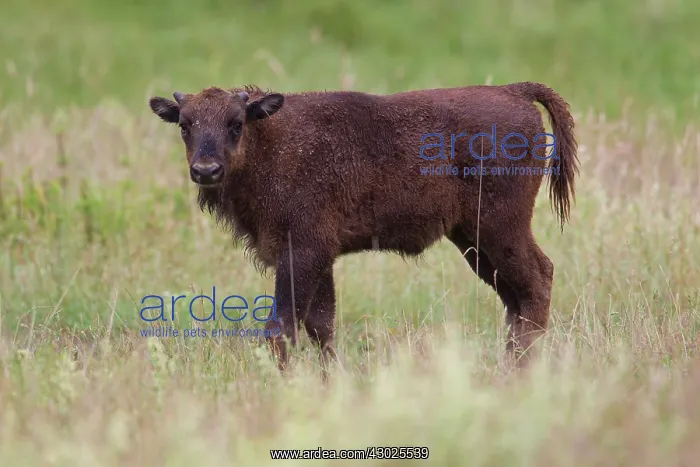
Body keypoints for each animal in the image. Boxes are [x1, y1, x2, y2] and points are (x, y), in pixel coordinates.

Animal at [148, 82, 578, 377]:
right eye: (185, 125)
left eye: (235, 124)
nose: (206, 171)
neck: (268, 140)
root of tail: (514, 90)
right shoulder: (318, 260)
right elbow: (321, 325)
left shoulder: (302, 253)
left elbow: (283, 326)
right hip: (472, 242)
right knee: (515, 298)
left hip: (500, 229)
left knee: (537, 280)